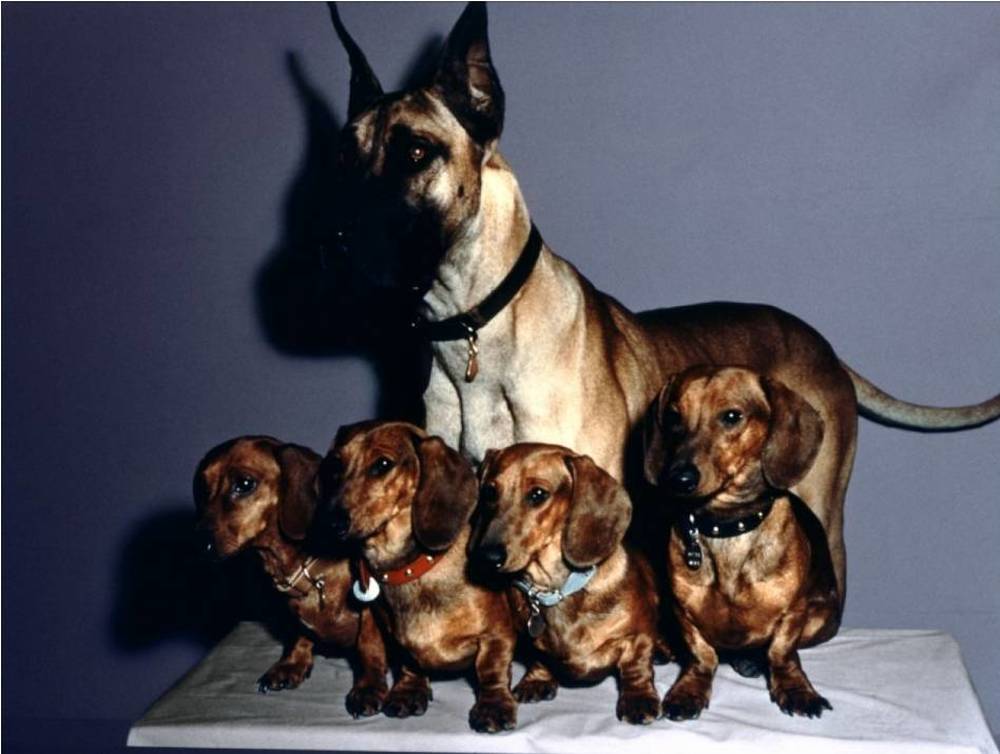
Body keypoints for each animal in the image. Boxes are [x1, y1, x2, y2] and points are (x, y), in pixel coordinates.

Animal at [193, 436, 388, 717]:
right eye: (202, 488)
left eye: (245, 483)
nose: (199, 546)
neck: (307, 569)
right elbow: (299, 633)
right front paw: (292, 664)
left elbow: (369, 644)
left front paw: (368, 687)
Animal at [314, 421, 520, 733]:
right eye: (335, 464)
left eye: (382, 464)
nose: (330, 523)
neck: (410, 568)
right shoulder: (388, 634)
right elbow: (405, 662)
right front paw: (408, 690)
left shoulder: (496, 635)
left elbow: (491, 671)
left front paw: (493, 705)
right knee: (371, 658)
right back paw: (367, 689)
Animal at [326, 2, 1000, 617]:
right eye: (344, 158)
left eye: (415, 152)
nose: (335, 236)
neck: (477, 330)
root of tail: (822, 346)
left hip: (818, 504)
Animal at [470, 443, 661, 725]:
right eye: (489, 491)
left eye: (538, 494)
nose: (486, 557)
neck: (555, 589)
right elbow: (539, 658)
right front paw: (537, 680)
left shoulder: (638, 636)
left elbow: (635, 666)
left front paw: (638, 698)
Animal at [644, 366, 840, 719]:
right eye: (674, 417)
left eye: (732, 416)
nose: (678, 479)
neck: (726, 527)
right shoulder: (684, 612)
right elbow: (701, 655)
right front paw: (689, 689)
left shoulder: (794, 612)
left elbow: (782, 652)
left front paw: (796, 689)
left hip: (823, 618)